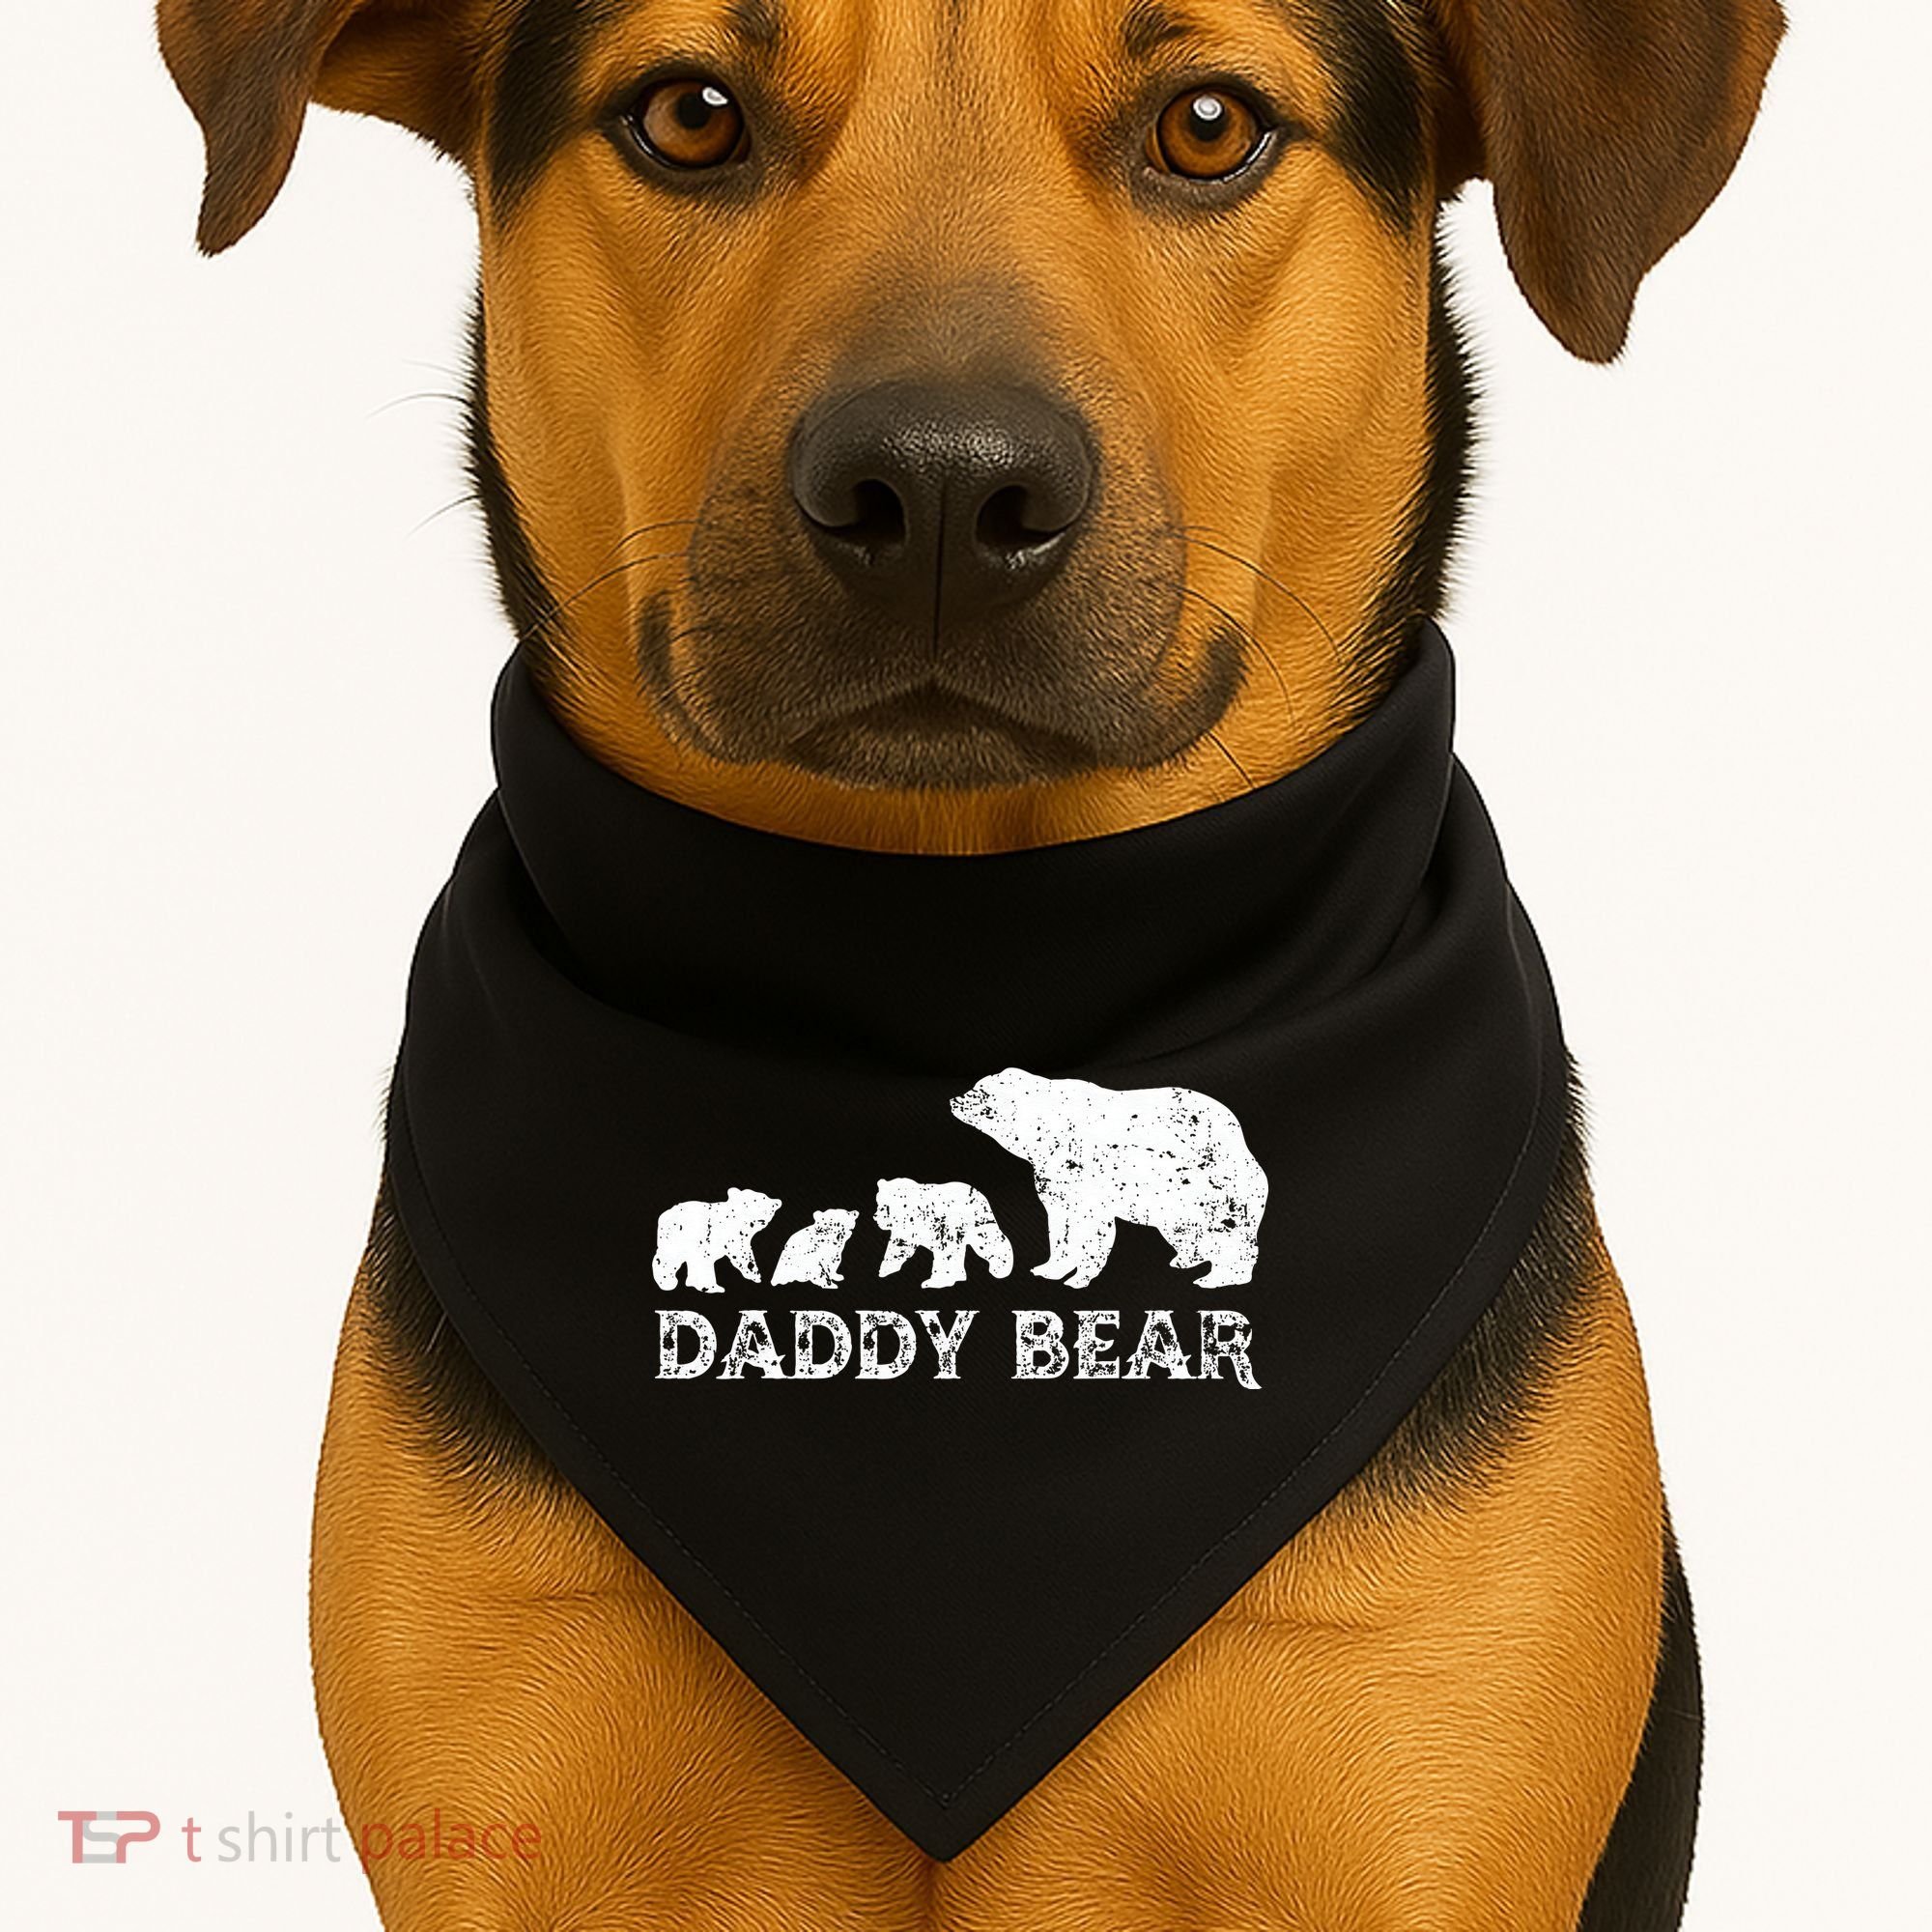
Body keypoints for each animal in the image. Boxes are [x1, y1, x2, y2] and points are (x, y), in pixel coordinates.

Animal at [651, 1187, 782, 1293]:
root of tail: (664, 1215)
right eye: (749, 1201)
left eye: (764, 1201)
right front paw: (755, 1275)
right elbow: (740, 1253)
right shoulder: (728, 1235)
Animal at [873, 1178, 1013, 1291]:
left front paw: (936, 1281)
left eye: (885, 1204)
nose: (876, 1216)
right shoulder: (905, 1230)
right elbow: (900, 1246)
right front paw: (885, 1268)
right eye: (878, 1201)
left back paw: (1000, 1267)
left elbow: (944, 1252)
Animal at [950, 1067, 1269, 1290]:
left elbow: (1092, 1241)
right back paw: (1184, 1261)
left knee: (1238, 1240)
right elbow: (1060, 1239)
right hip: (1175, 1209)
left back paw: (1219, 1278)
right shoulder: (1057, 1198)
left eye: (980, 1092)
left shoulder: (1093, 1198)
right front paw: (1050, 1270)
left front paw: (1078, 1280)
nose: (954, 1098)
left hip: (1219, 1194)